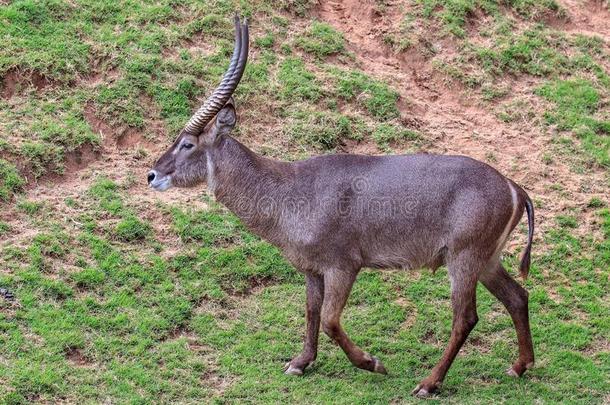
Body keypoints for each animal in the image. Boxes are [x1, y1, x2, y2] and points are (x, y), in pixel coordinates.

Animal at [150, 16, 536, 394]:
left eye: (187, 143)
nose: (152, 174)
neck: (290, 188)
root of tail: (514, 187)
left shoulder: (343, 266)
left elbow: (330, 320)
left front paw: (372, 363)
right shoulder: (312, 270)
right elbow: (310, 313)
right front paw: (300, 363)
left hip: (463, 258)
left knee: (466, 317)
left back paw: (429, 383)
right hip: (486, 260)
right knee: (518, 296)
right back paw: (520, 366)